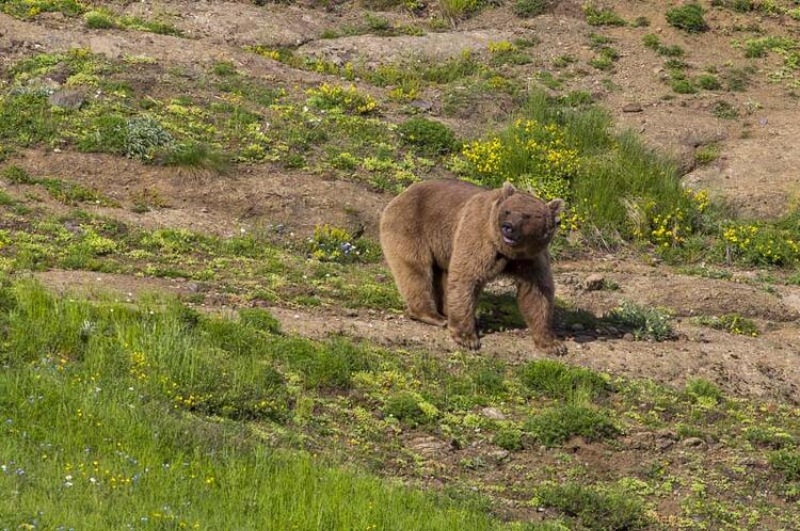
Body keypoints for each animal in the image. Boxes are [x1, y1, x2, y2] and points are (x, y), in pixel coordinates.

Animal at [380, 179, 564, 354]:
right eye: (508, 211)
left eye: (527, 216)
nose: (508, 227)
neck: (508, 251)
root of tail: (404, 192)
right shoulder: (479, 236)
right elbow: (467, 277)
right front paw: (467, 338)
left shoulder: (531, 258)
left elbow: (537, 293)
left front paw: (552, 344)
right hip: (412, 225)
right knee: (416, 271)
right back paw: (433, 316)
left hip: (442, 246)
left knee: (442, 277)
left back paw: (446, 312)